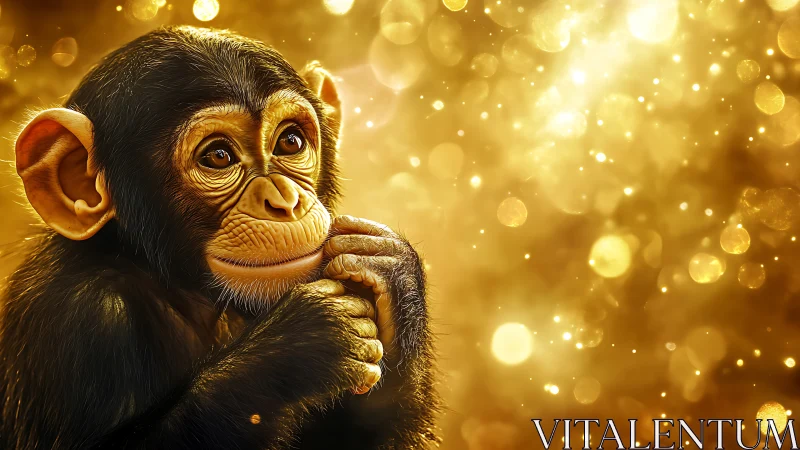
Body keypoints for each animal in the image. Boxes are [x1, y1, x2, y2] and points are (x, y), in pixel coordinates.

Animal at [0, 26, 438, 449]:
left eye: (290, 142)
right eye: (217, 156)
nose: (284, 201)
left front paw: (392, 274)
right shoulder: (80, 317)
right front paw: (301, 347)